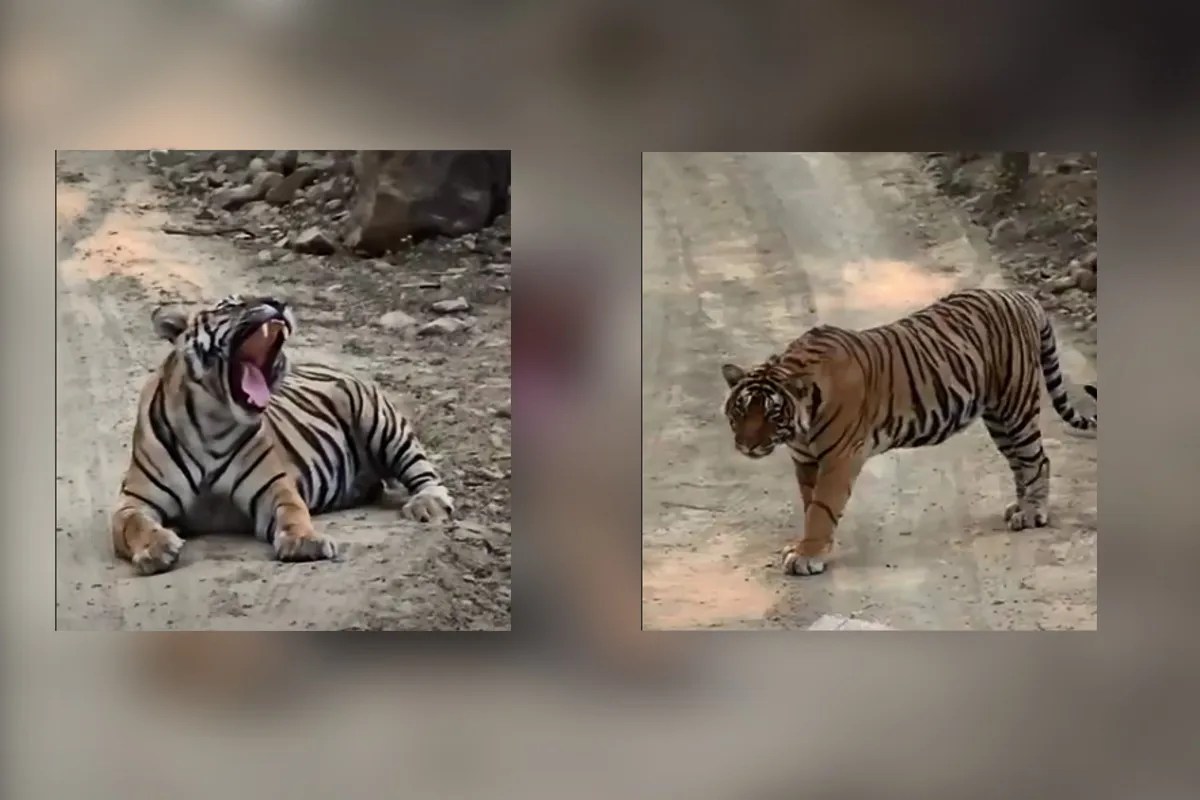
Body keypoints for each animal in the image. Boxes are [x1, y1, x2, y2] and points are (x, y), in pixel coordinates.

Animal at [112, 294, 455, 575]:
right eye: (231, 305)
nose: (278, 302)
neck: (213, 423)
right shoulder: (134, 501)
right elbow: (134, 524)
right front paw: (157, 548)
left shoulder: (274, 488)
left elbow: (293, 512)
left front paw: (306, 542)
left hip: (384, 425)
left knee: (424, 472)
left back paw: (428, 505)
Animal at [720, 287, 1097, 577]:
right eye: (740, 410)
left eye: (772, 413)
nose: (747, 445)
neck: (799, 427)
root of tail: (1019, 295)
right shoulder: (806, 461)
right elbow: (810, 505)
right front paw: (813, 548)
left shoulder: (838, 459)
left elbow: (821, 509)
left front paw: (807, 555)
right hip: (999, 420)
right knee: (1021, 463)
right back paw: (1019, 507)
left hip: (1015, 407)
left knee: (1038, 460)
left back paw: (1032, 515)